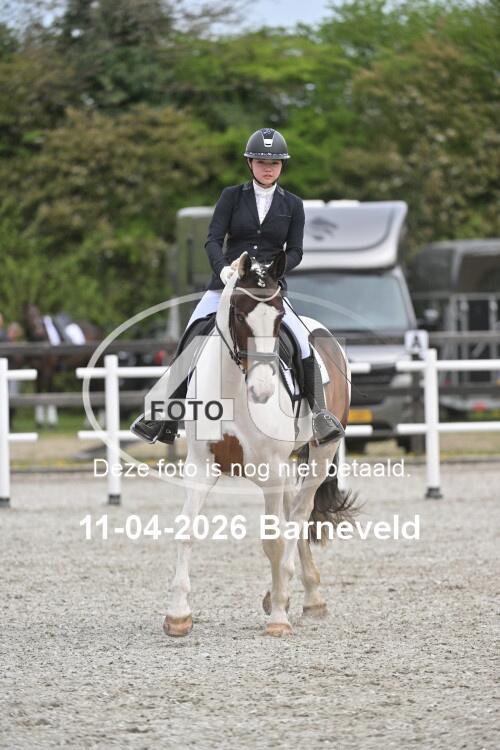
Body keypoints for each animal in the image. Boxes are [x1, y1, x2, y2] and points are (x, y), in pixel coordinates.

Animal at [162, 250, 356, 637]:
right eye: (239, 314)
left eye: (279, 318)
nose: (263, 390)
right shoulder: (201, 465)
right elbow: (186, 530)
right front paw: (178, 615)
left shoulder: (271, 470)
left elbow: (274, 541)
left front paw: (279, 616)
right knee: (293, 513)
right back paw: (301, 594)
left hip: (319, 454)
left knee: (298, 515)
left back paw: (300, 596)